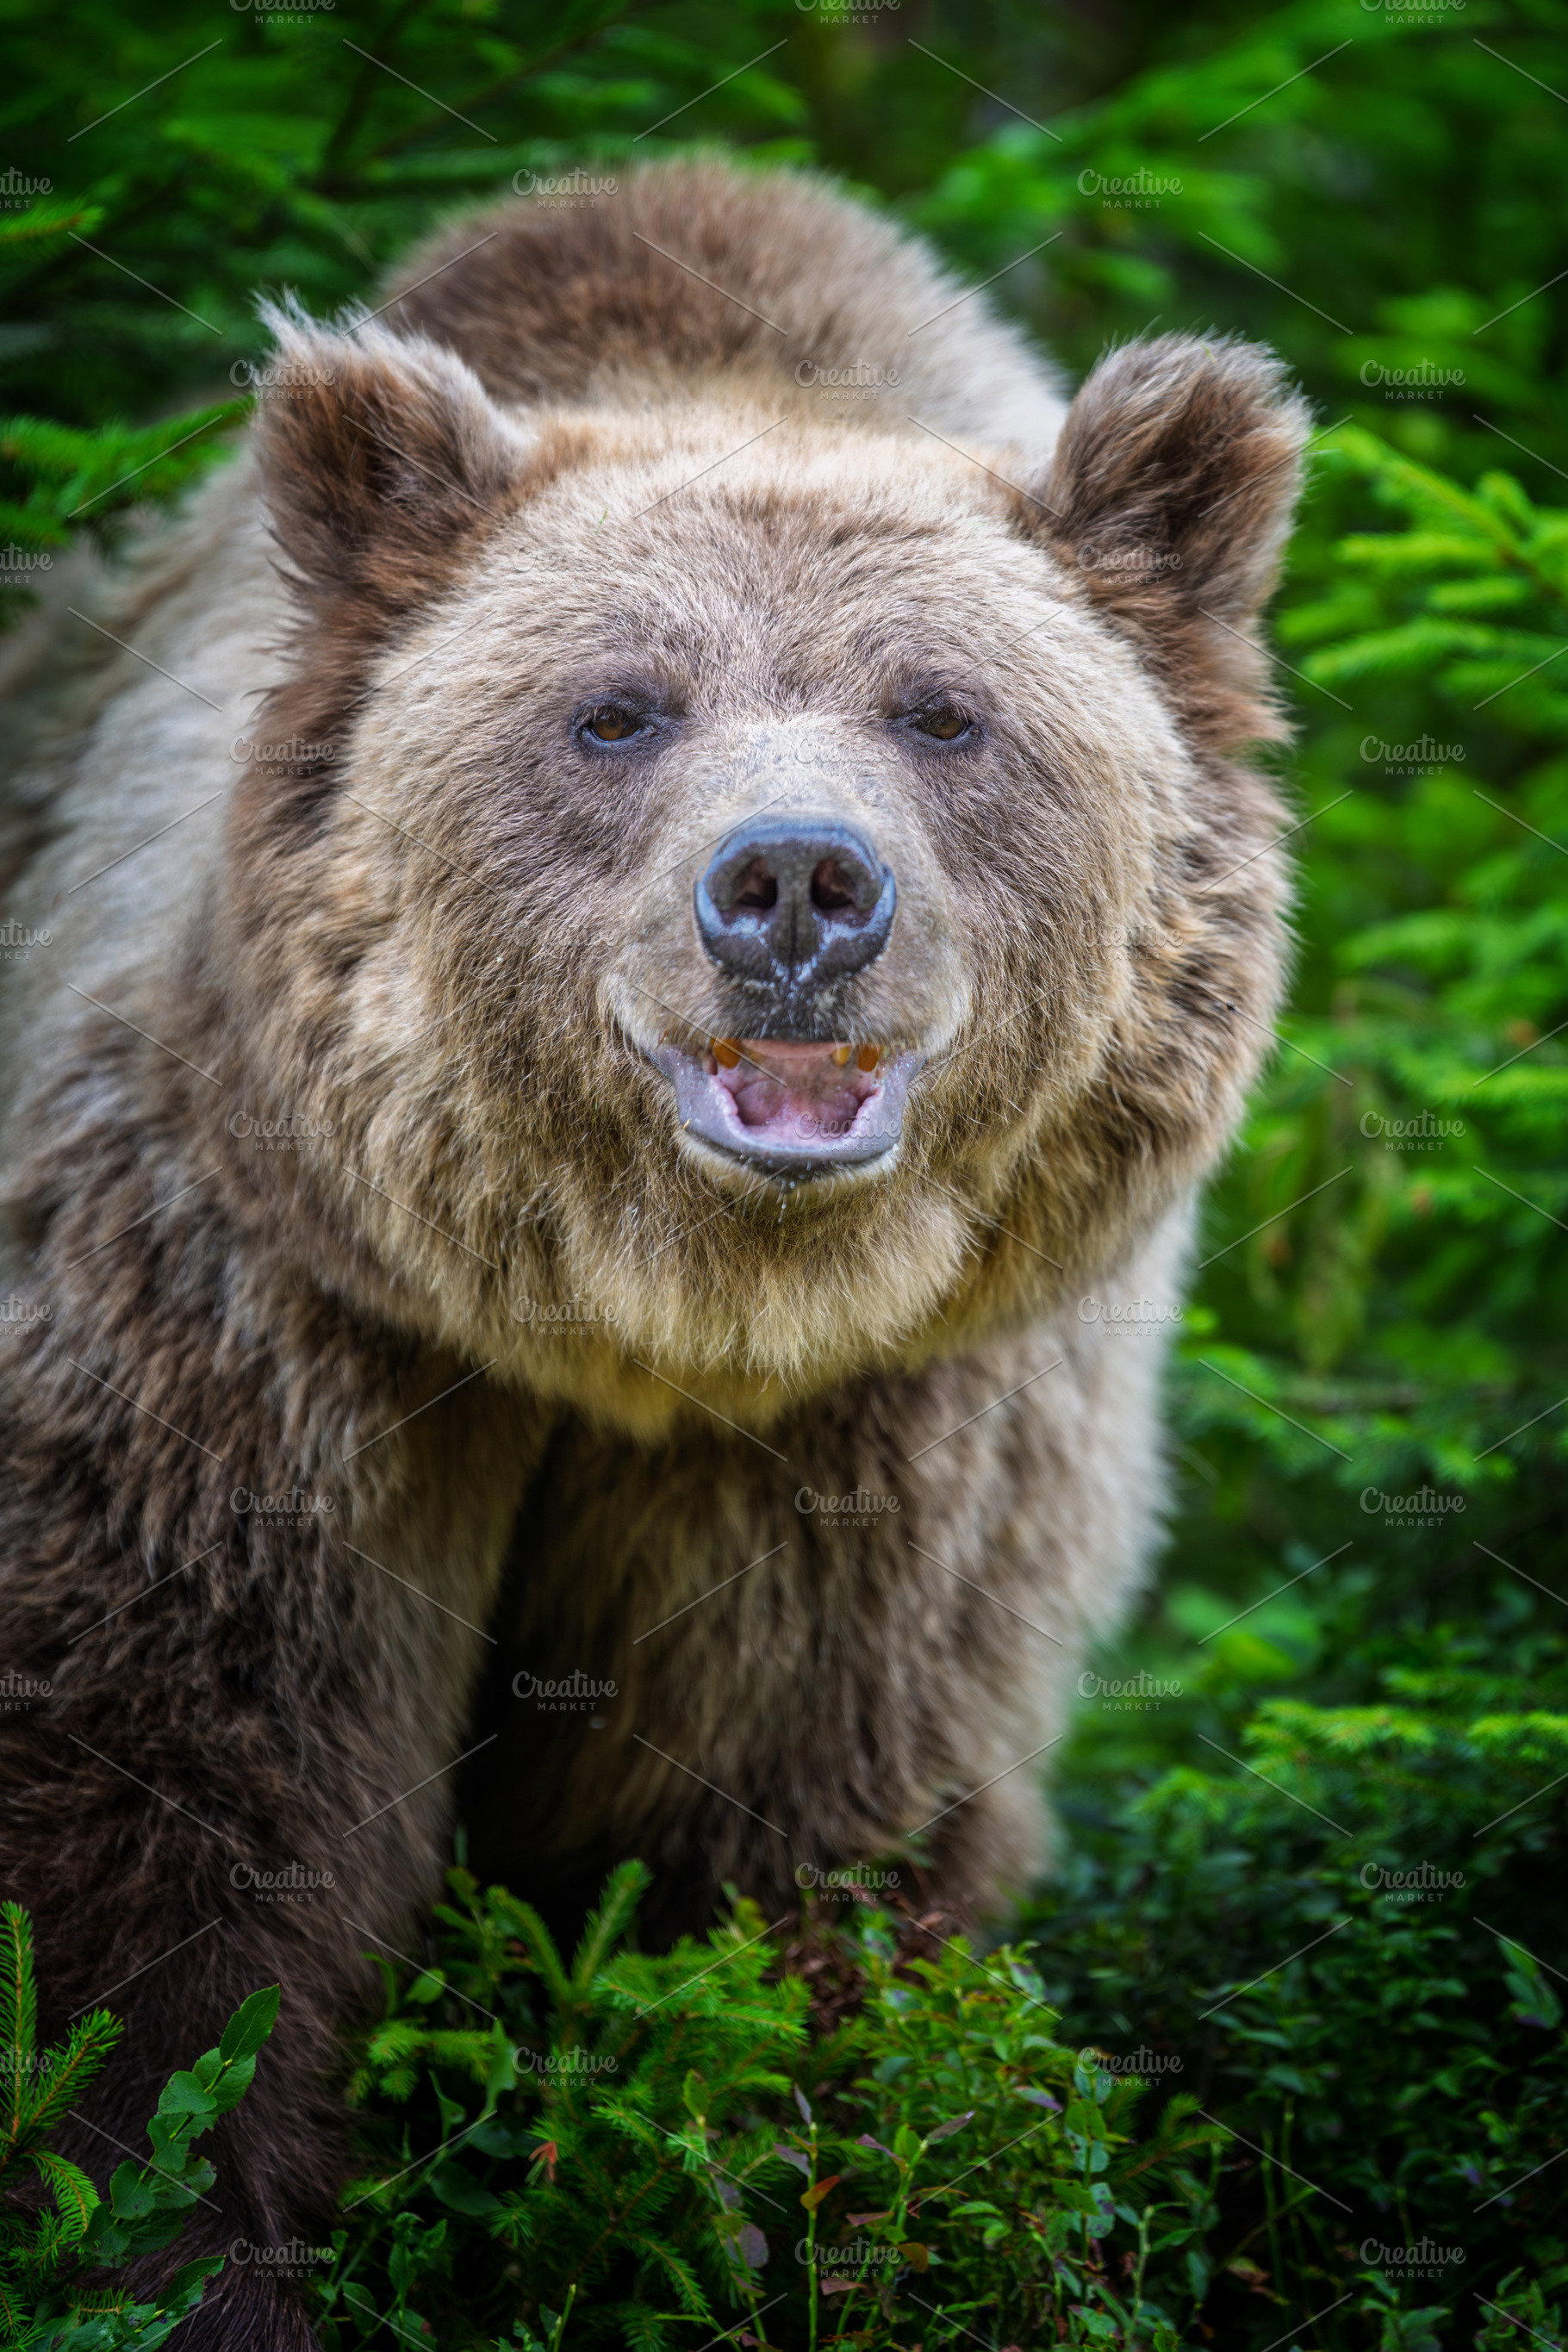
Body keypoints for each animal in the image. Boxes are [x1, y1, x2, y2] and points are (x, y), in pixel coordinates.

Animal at [0, 158, 1306, 2348]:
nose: (794, 887)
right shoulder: (250, 1302)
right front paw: (161, 2249)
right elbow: (168, 1820)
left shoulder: (889, 1433)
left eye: (942, 711)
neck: (657, 1320)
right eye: (615, 710)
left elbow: (777, 1842)